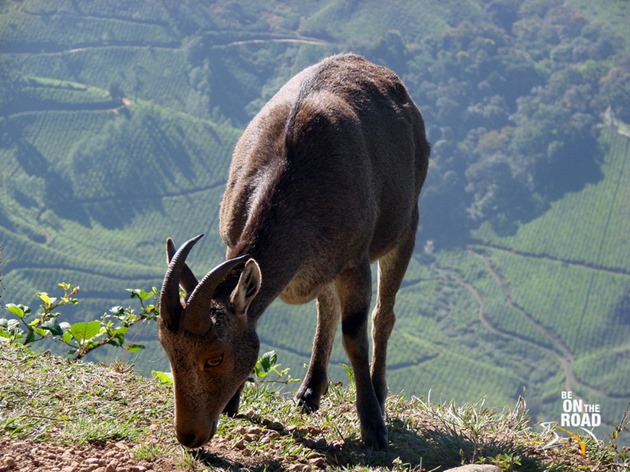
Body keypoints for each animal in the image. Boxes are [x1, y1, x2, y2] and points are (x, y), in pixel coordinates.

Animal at [160, 52, 432, 450]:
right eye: (168, 350)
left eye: (214, 357)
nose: (189, 435)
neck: (291, 176)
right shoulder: (233, 241)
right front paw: (234, 402)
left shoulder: (354, 262)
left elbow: (355, 336)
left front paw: (373, 428)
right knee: (326, 309)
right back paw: (309, 391)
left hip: (406, 227)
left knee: (383, 315)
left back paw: (378, 394)